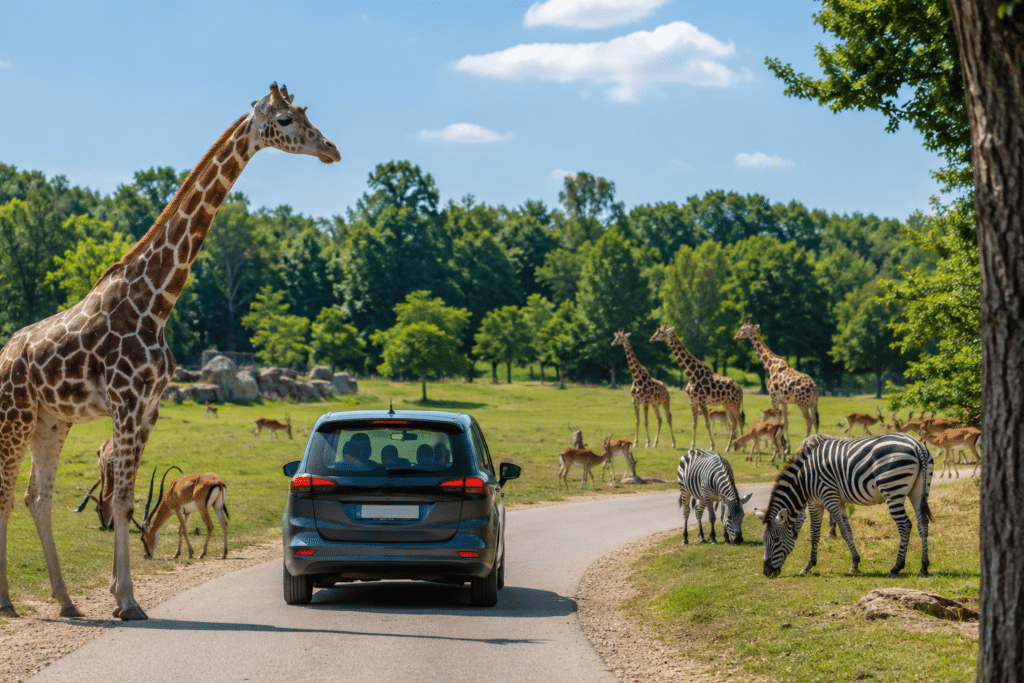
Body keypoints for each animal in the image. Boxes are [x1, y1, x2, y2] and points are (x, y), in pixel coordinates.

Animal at [761, 433, 933, 579]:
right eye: (763, 540)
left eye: (776, 539)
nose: (766, 572)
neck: (804, 478)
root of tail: (917, 445)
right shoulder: (838, 501)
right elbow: (848, 531)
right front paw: (855, 564)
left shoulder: (824, 499)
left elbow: (818, 533)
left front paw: (808, 566)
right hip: (919, 491)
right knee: (923, 523)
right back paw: (924, 567)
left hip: (892, 488)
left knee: (905, 526)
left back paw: (896, 568)